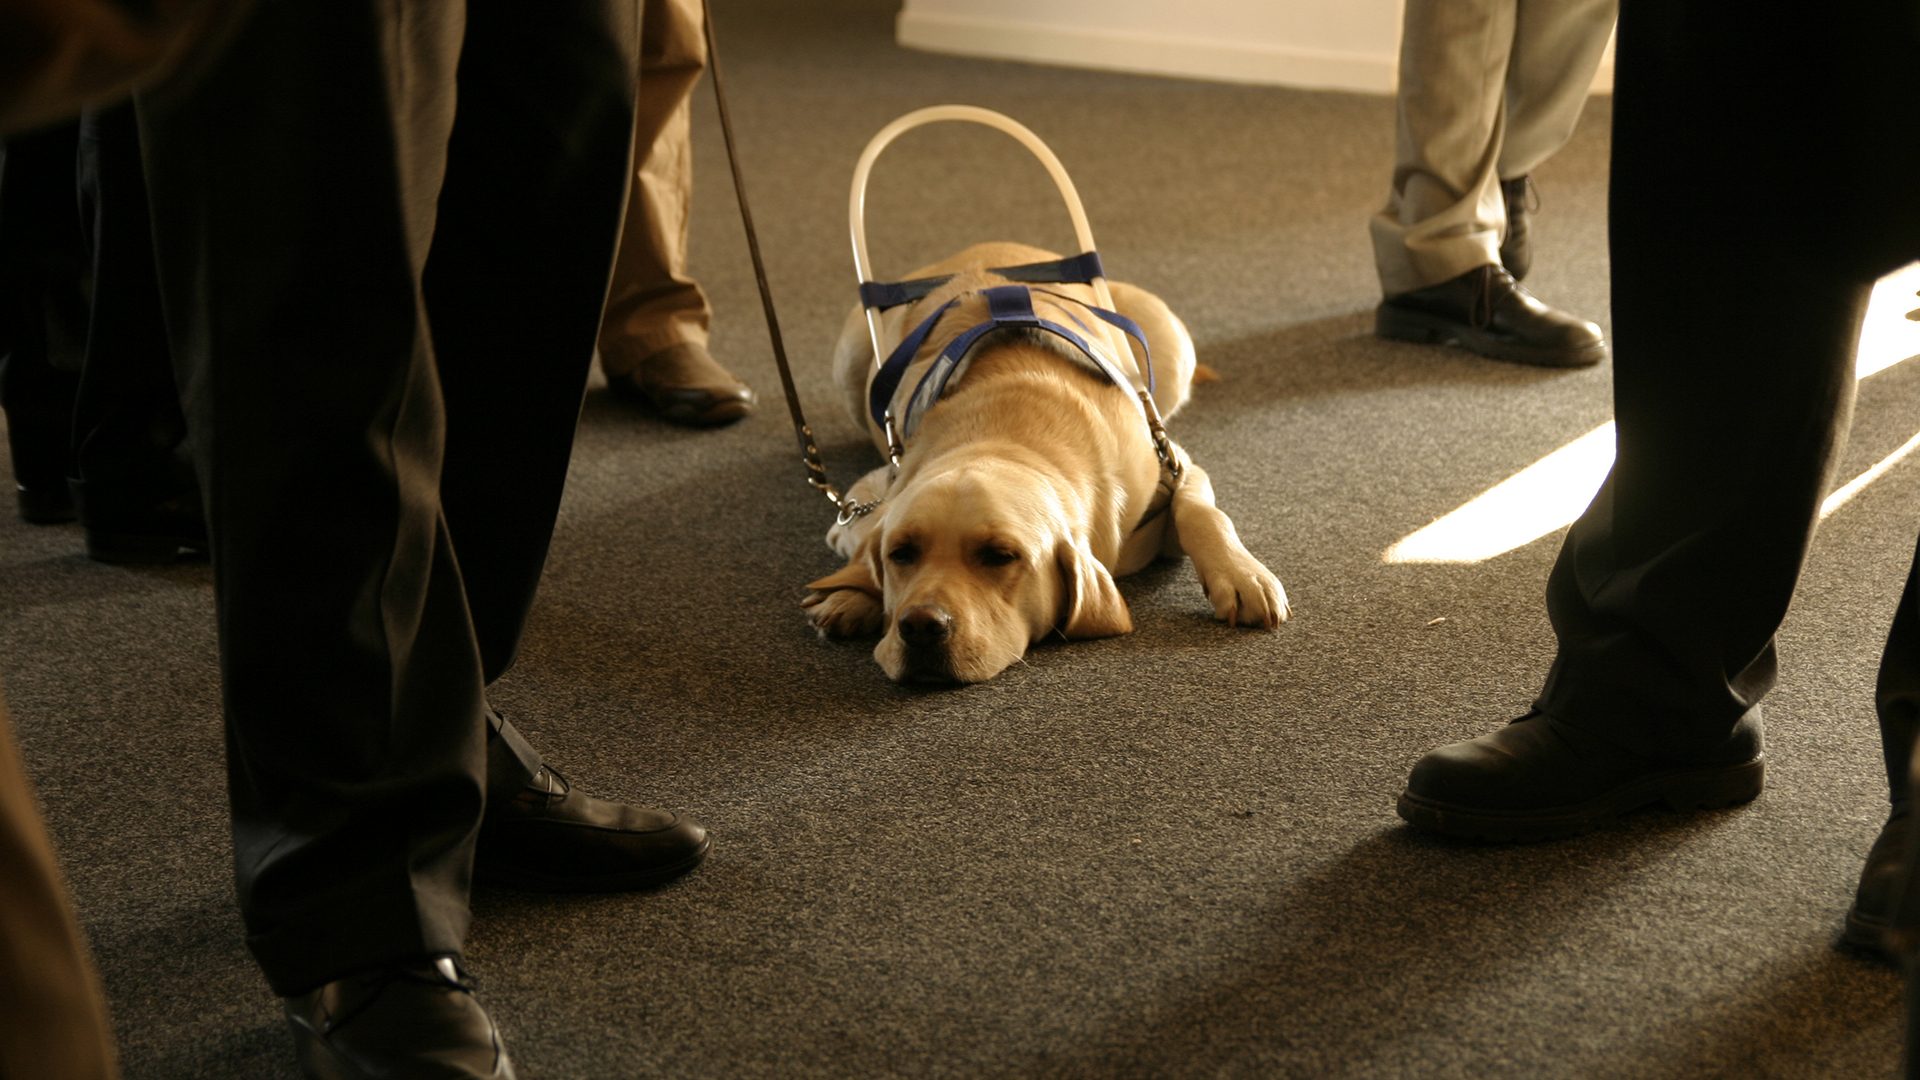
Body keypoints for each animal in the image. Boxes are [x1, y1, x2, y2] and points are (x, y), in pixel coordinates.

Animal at [798, 244, 1290, 680]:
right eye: (901, 553)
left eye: (1000, 557)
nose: (920, 625)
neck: (1006, 434)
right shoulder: (867, 495)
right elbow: (862, 545)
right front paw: (850, 596)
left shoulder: (1171, 460)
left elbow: (1203, 514)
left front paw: (1241, 574)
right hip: (851, 360)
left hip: (1169, 345)